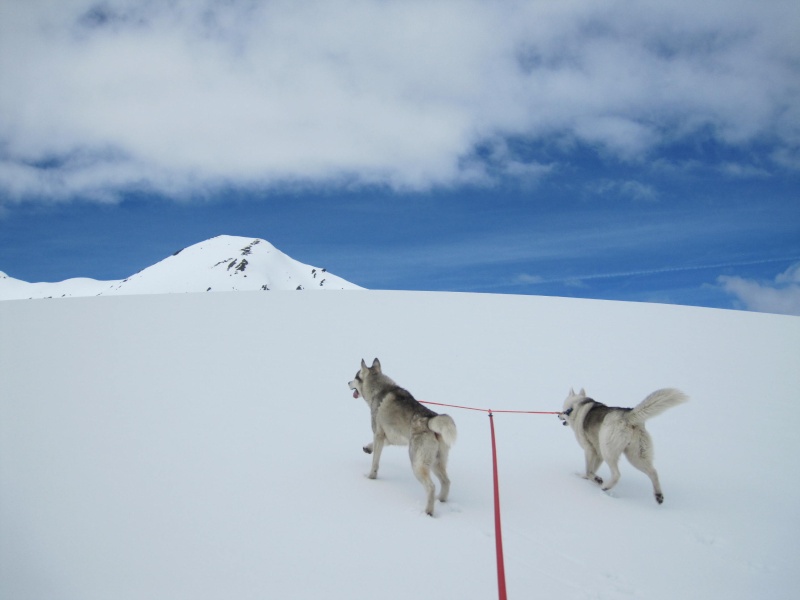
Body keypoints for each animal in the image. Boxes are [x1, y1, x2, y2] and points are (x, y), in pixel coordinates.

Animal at [348, 356, 456, 516]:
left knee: (431, 486)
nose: (347, 382)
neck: (378, 389)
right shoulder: (389, 437)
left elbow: (375, 462)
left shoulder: (378, 433)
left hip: (417, 463)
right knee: (446, 482)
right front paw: (367, 448)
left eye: (355, 377)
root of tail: (430, 419)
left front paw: (371, 477)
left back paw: (428, 512)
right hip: (436, 462)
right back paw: (441, 500)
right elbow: (375, 446)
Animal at [556, 390, 688, 502]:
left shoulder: (590, 450)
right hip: (636, 456)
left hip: (608, 452)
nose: (558, 415)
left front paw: (596, 479)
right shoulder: (598, 454)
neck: (577, 406)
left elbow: (589, 470)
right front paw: (586, 477)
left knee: (617, 474)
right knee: (653, 472)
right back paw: (658, 495)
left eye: (562, 410)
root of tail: (628, 416)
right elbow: (591, 470)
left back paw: (606, 487)